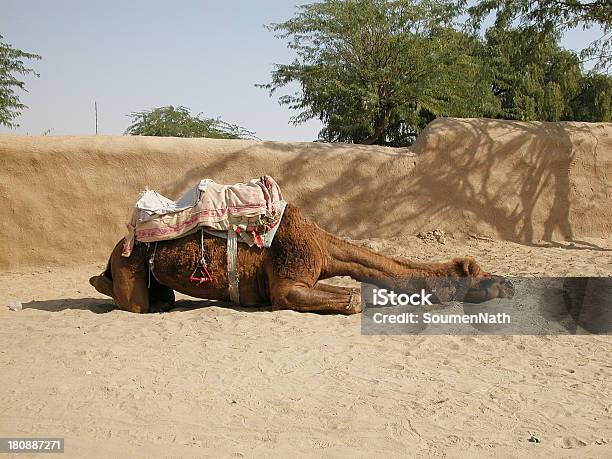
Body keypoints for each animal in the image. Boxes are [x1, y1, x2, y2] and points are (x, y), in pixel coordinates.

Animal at [89, 204, 512, 314]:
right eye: (483, 275)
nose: (508, 284)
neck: (321, 246)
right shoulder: (287, 284)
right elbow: (353, 299)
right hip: (129, 264)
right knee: (132, 302)